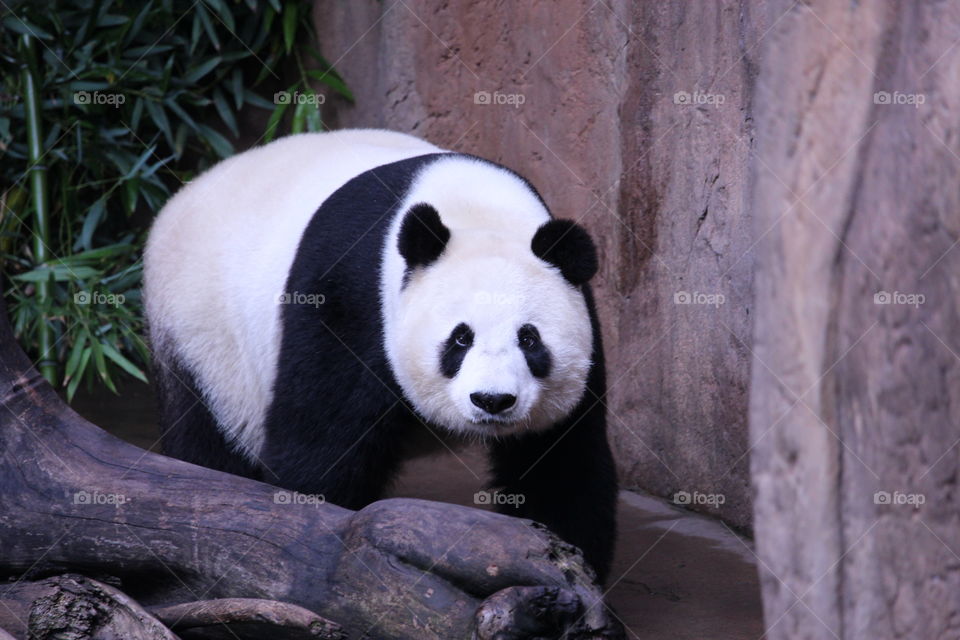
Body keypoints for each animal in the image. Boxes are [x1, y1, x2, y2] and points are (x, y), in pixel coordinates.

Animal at [144, 129, 617, 582]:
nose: (492, 400)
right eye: (460, 339)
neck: (476, 209)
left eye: (530, 340)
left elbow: (561, 462)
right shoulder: (349, 296)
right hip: (202, 335)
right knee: (206, 434)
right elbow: (322, 438)